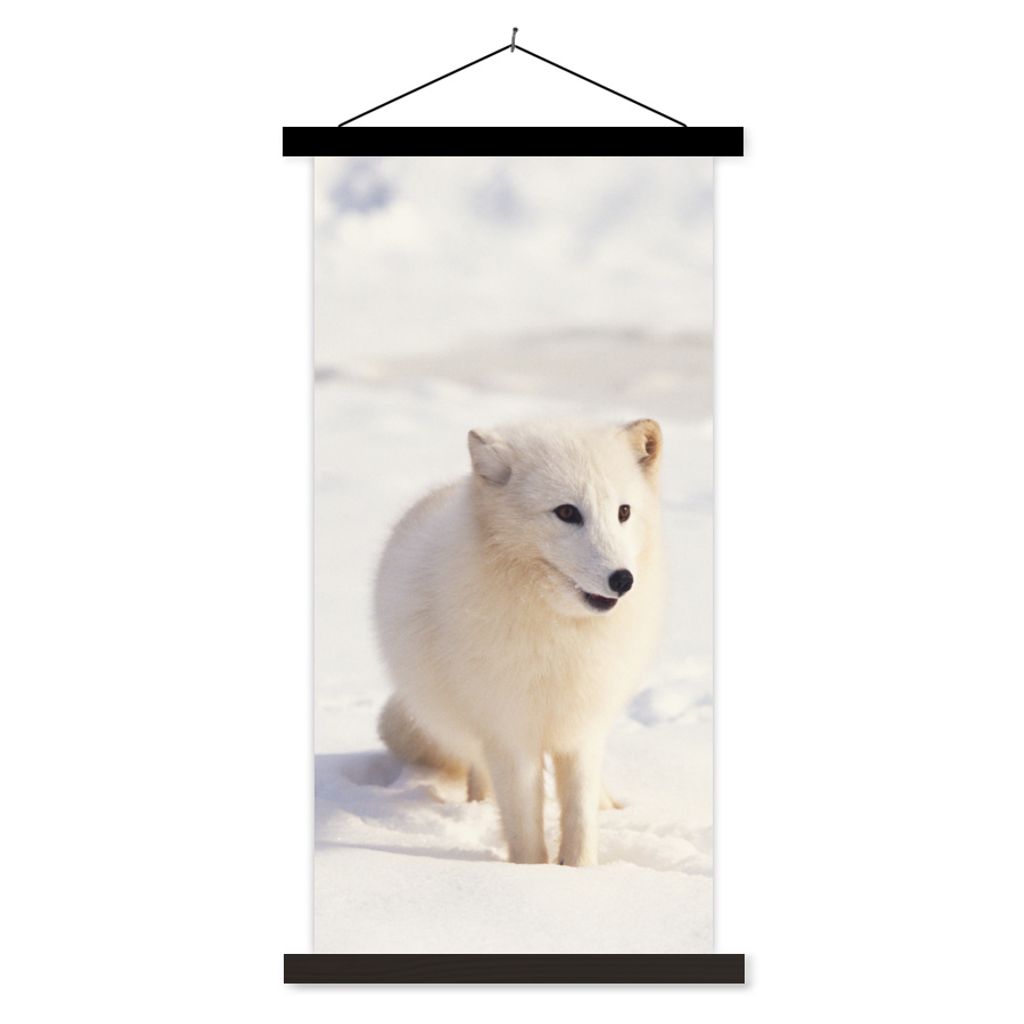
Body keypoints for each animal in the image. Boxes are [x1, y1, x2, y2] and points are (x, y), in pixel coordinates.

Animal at [374, 418, 666, 866]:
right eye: (567, 512)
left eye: (624, 512)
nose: (622, 579)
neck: (561, 636)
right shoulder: (509, 733)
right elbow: (525, 826)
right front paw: (530, 874)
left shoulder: (581, 727)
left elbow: (580, 816)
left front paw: (581, 870)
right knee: (479, 770)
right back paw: (478, 805)